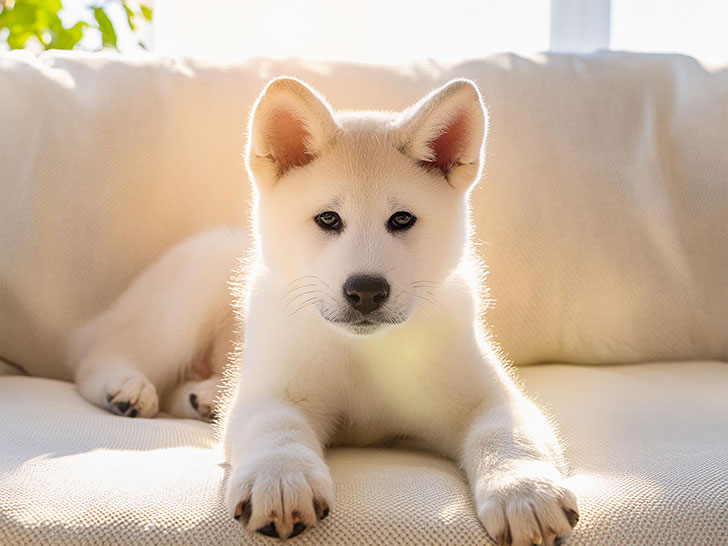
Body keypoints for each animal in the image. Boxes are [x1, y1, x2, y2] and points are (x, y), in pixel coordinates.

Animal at [222, 77, 580, 544]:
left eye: (402, 219)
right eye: (328, 219)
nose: (366, 291)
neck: (366, 354)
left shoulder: (487, 395)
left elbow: (505, 434)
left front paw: (525, 490)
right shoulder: (267, 391)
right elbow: (274, 426)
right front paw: (279, 477)